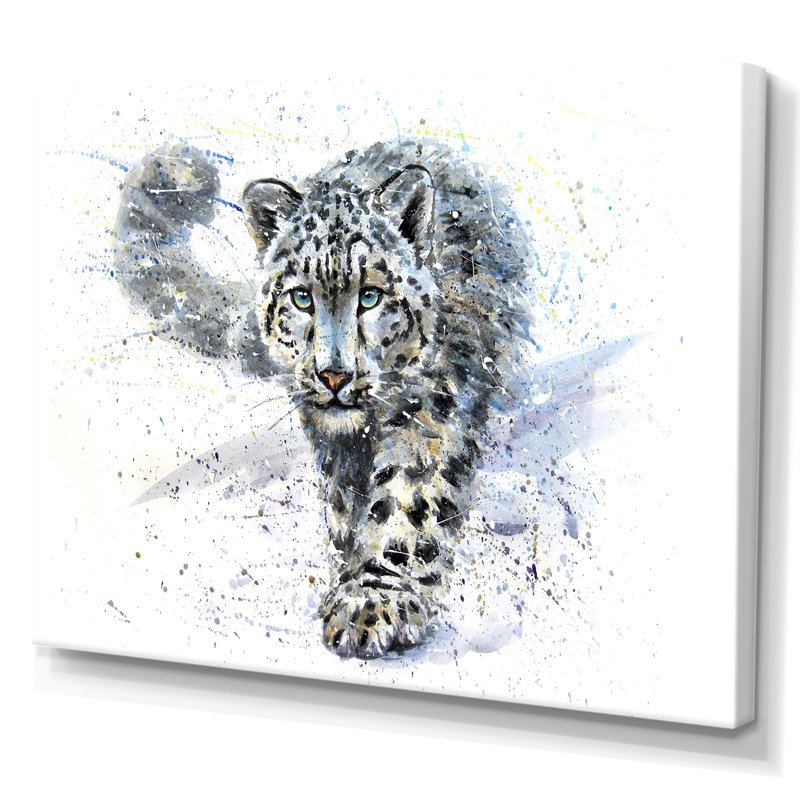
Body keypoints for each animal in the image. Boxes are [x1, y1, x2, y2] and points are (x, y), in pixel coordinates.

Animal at [113, 138, 536, 658]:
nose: (333, 375)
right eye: (300, 298)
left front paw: (372, 599)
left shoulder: (430, 411)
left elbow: (406, 500)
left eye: (371, 296)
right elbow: (348, 504)